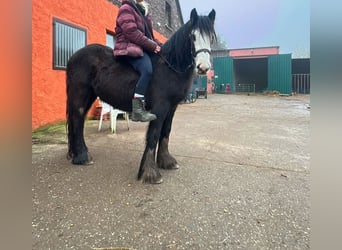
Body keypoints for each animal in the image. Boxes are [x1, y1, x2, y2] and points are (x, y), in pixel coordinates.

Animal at [66, 8, 215, 184]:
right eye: (192, 36)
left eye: (212, 38)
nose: (203, 67)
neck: (169, 66)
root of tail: (74, 56)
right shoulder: (160, 107)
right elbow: (154, 134)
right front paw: (150, 172)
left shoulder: (171, 108)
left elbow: (166, 132)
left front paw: (166, 161)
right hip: (80, 93)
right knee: (77, 118)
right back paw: (82, 157)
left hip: (89, 95)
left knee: (79, 119)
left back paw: (77, 154)